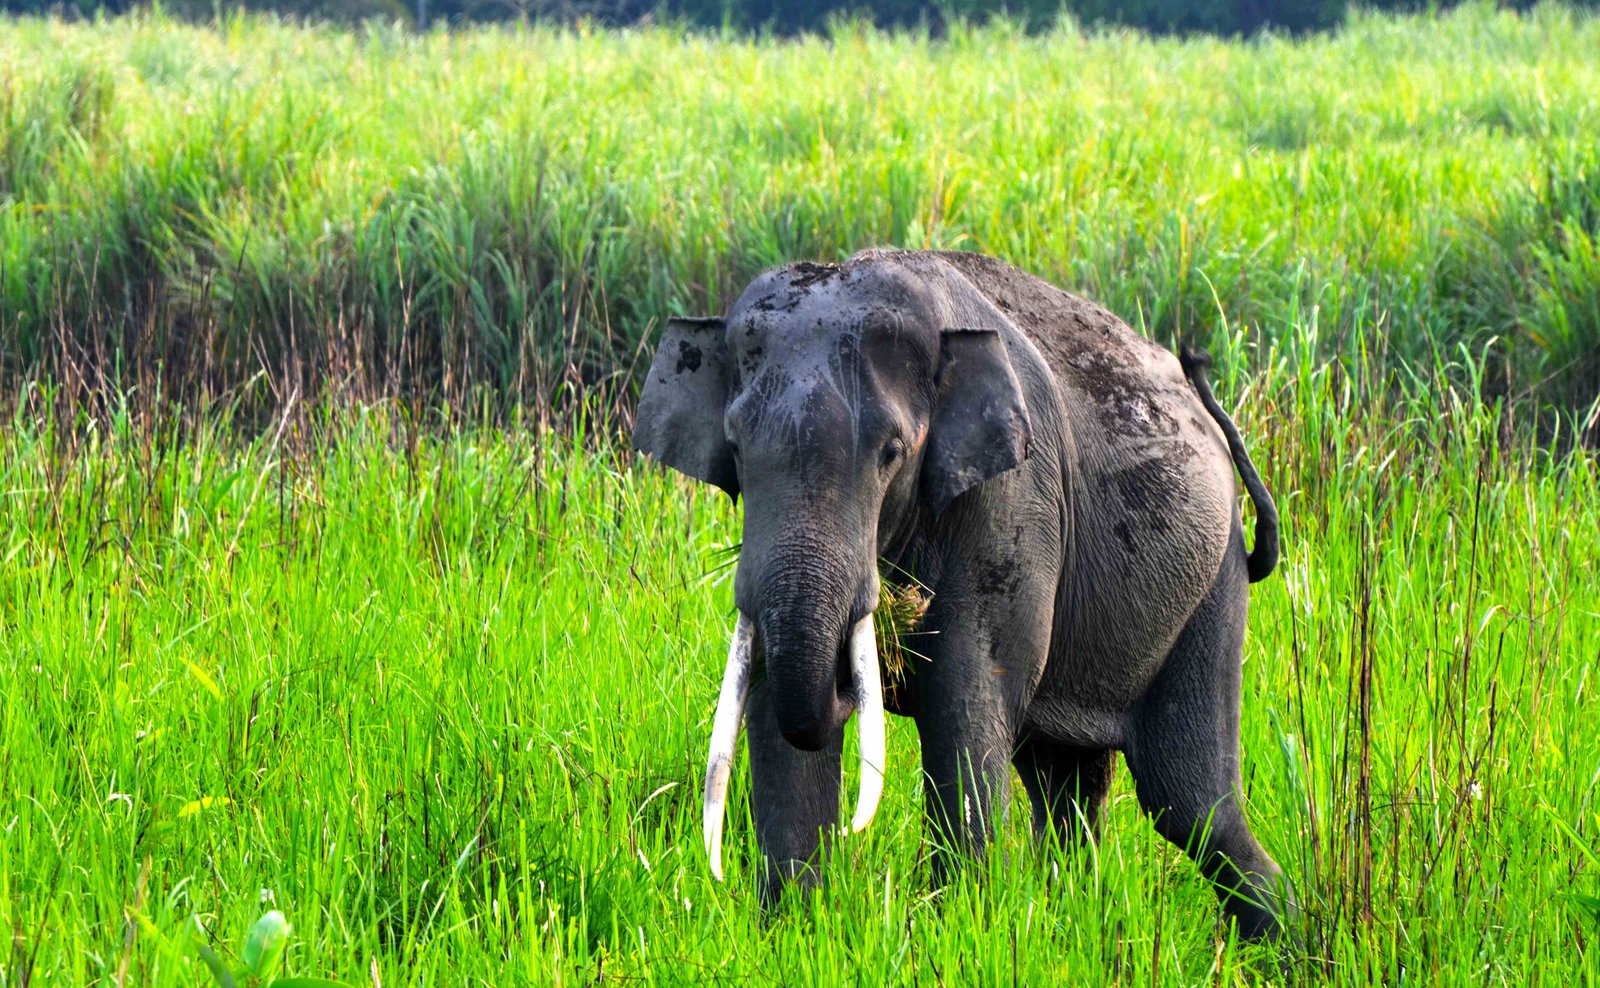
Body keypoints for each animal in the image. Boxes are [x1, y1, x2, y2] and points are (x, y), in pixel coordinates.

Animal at [633, 247, 1286, 940]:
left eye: (892, 453)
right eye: (734, 449)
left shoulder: (1011, 502)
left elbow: (961, 706)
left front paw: (955, 929)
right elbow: (774, 713)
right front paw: (792, 933)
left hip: (1212, 585)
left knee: (1188, 803)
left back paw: (1275, 942)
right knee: (1068, 785)